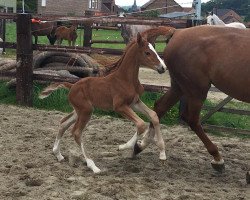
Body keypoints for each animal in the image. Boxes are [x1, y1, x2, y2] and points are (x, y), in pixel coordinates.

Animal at [135, 25, 250, 172]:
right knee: (192, 120)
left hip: (178, 87)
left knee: (160, 107)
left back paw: (140, 145)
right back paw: (217, 159)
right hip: (197, 90)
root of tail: (177, 32)